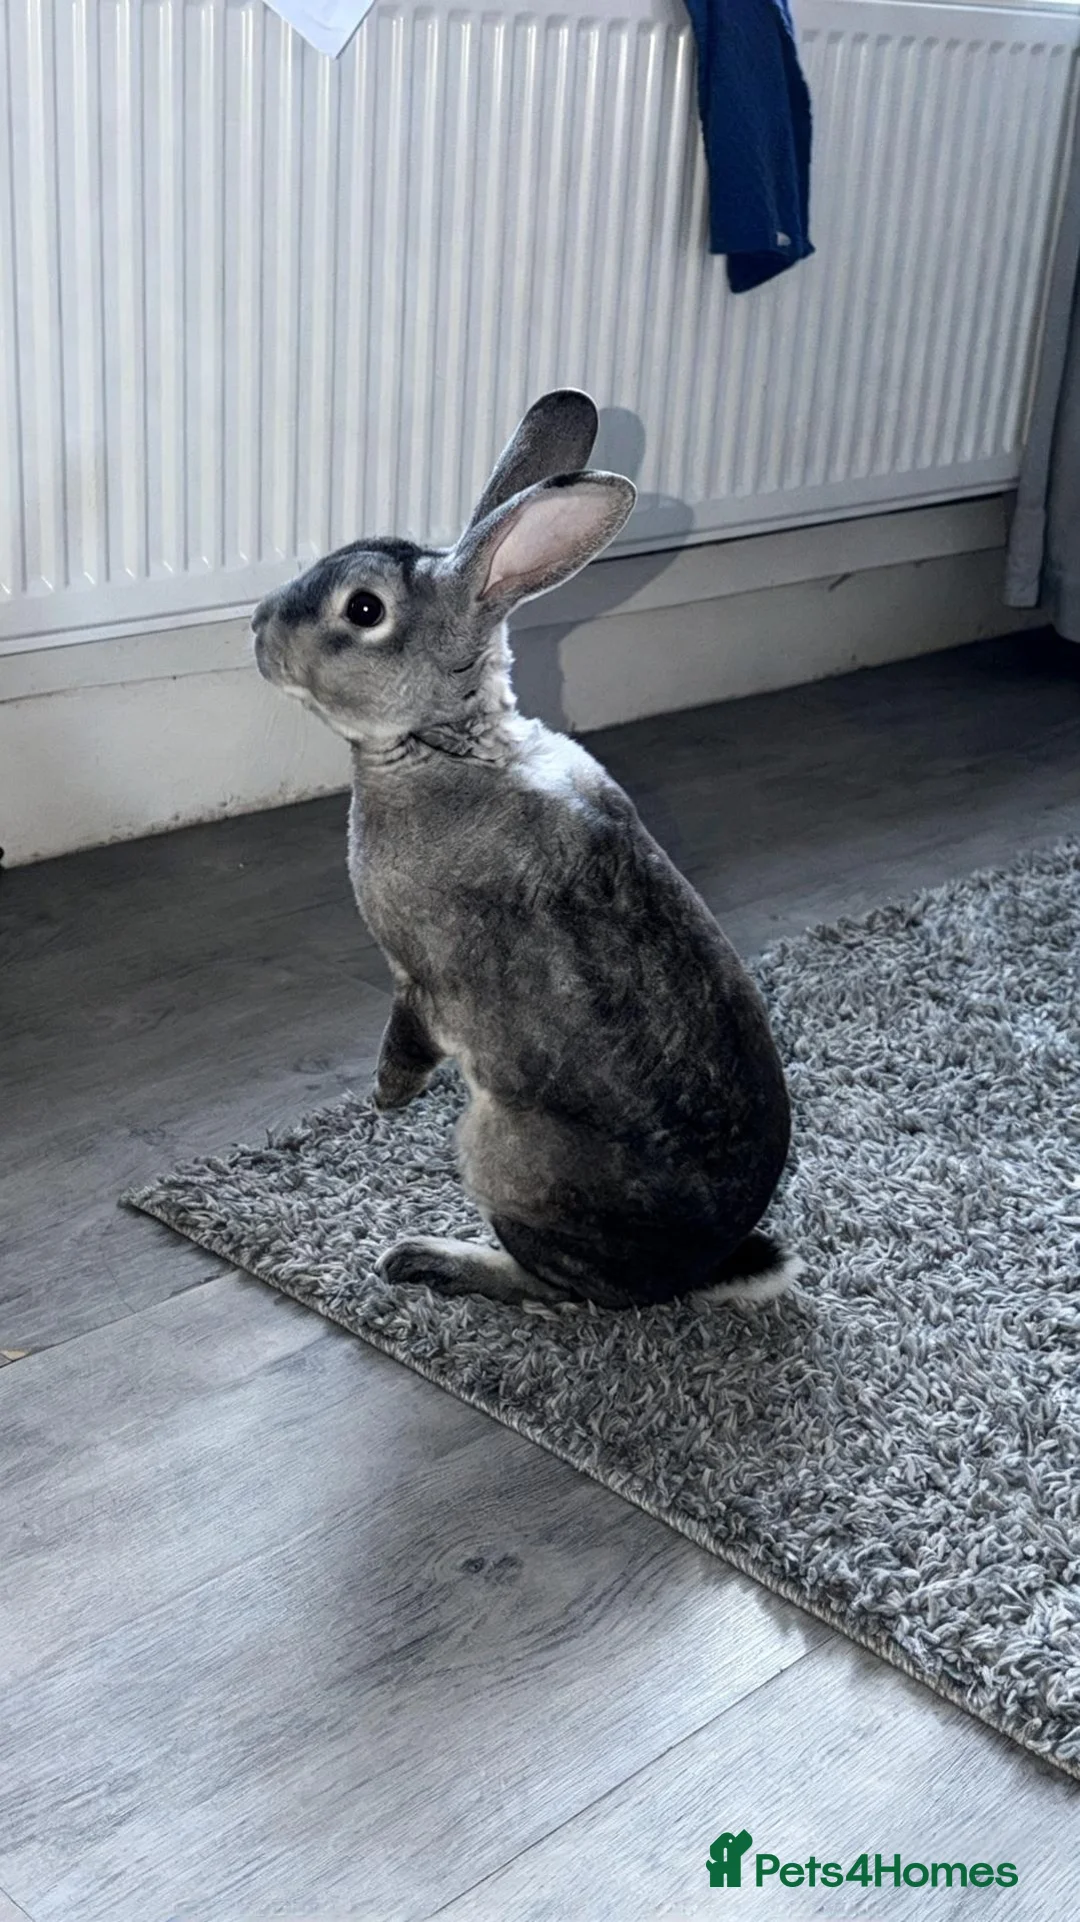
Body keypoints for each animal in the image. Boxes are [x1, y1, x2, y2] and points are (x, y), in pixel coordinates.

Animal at [252, 390, 796, 1311]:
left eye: (362, 610)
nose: (255, 629)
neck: (444, 743)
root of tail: (686, 1276)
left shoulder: (422, 978)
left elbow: (408, 1036)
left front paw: (383, 1100)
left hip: (499, 1151)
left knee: (555, 1288)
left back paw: (427, 1258)